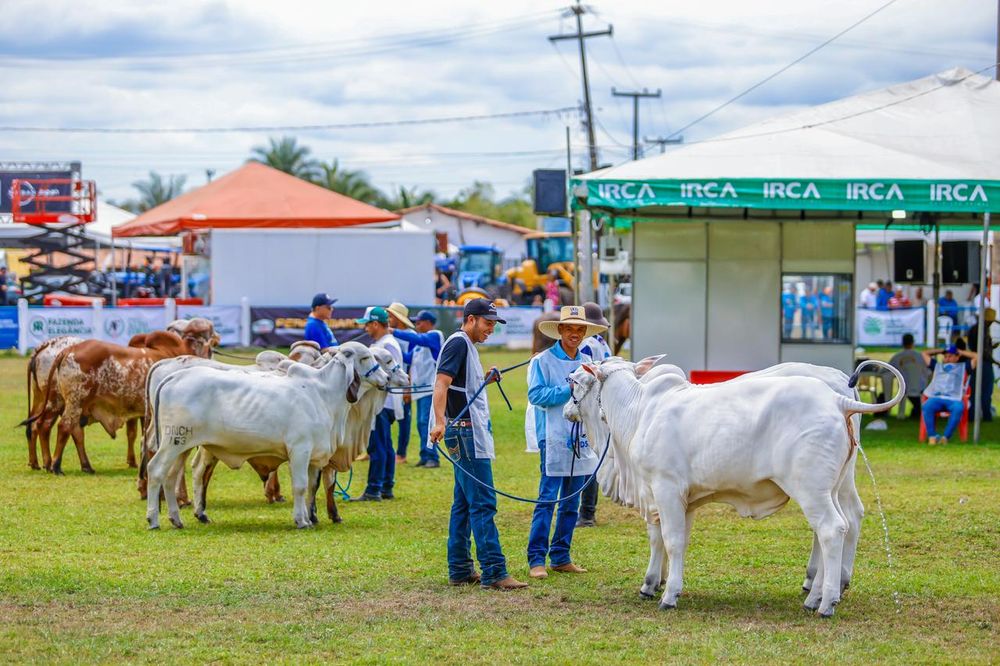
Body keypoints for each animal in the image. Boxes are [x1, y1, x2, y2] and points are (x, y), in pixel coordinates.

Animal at [146, 340, 388, 528]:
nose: (385, 379)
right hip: (172, 442)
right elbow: (300, 486)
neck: (323, 394)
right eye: (366, 357)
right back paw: (153, 519)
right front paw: (301, 521)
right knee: (155, 470)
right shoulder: (299, 450)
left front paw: (310, 517)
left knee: (171, 477)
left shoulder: (313, 457)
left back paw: (177, 519)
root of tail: (174, 376)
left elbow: (311, 487)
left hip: (182, 447)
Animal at [568, 356, 904, 616]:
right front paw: (663, 583)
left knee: (832, 529)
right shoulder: (682, 499)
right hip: (832, 486)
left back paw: (825, 602)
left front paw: (665, 593)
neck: (639, 411)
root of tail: (837, 399)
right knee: (841, 524)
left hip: (812, 489)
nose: (566, 409)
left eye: (573, 382)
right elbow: (677, 541)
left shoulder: (663, 489)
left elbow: (668, 540)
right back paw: (817, 594)